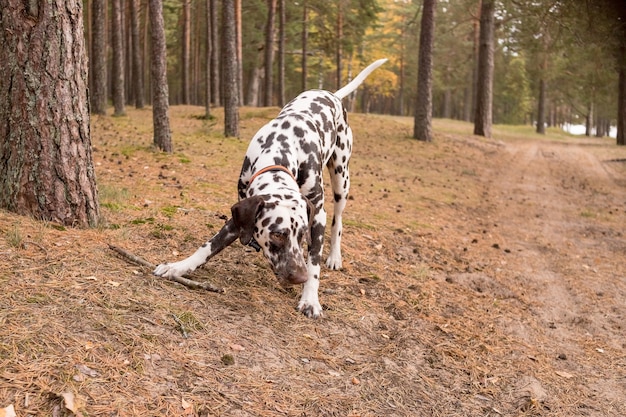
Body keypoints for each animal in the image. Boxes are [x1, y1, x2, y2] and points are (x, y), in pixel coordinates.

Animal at [153, 58, 386, 316]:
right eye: (277, 234)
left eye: (302, 234)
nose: (300, 277)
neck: (281, 149)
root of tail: (331, 94)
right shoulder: (240, 214)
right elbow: (208, 246)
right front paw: (178, 267)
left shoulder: (317, 216)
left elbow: (314, 259)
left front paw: (310, 298)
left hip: (341, 179)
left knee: (338, 222)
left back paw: (334, 256)